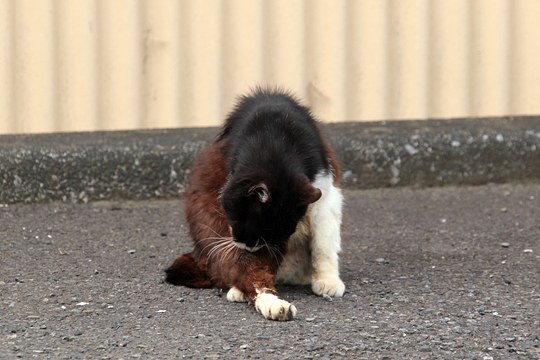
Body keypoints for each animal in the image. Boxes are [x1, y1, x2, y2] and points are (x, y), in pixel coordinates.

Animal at [163, 88, 346, 320]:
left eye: (273, 235)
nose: (250, 247)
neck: (274, 141)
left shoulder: (324, 193)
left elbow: (324, 246)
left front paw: (328, 281)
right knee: (245, 274)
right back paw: (269, 303)